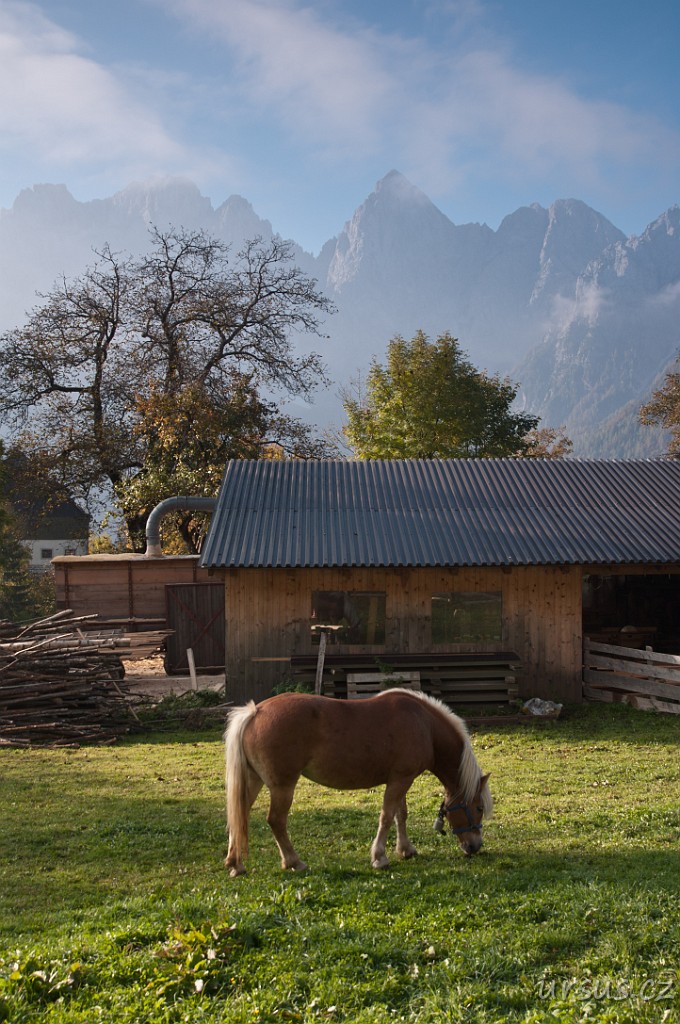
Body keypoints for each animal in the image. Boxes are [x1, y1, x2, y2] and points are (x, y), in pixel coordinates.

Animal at [224, 688, 492, 876]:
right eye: (479, 807)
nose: (475, 846)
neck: (424, 724)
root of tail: (255, 712)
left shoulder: (401, 779)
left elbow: (401, 814)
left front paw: (405, 850)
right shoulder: (400, 780)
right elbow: (387, 816)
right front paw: (380, 857)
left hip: (254, 780)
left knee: (240, 814)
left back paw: (236, 863)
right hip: (283, 787)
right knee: (276, 821)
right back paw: (294, 861)